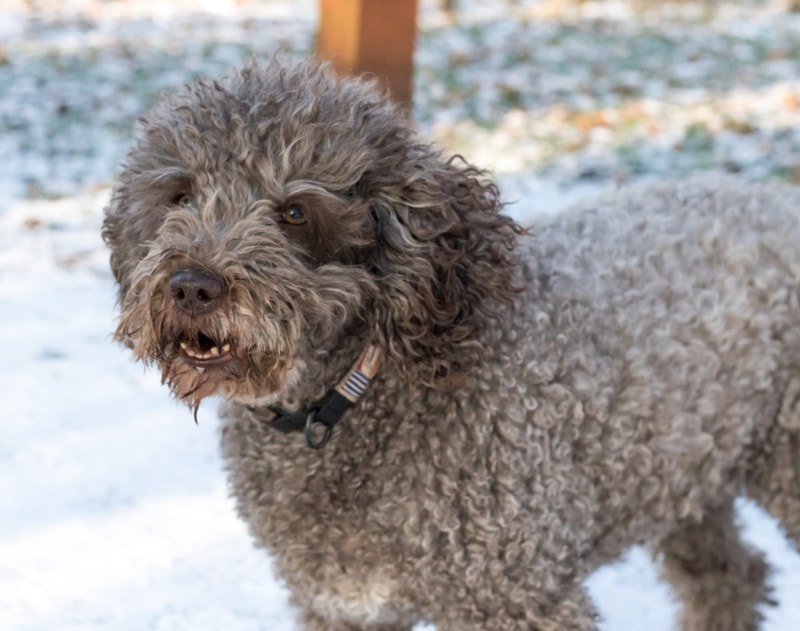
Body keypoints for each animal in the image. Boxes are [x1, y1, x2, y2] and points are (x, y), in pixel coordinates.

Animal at [103, 56, 800, 628]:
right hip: (686, 478)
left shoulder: (514, 597)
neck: (350, 402)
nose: (192, 286)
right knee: (730, 577)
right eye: (179, 195)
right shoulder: (344, 605)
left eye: (296, 212)